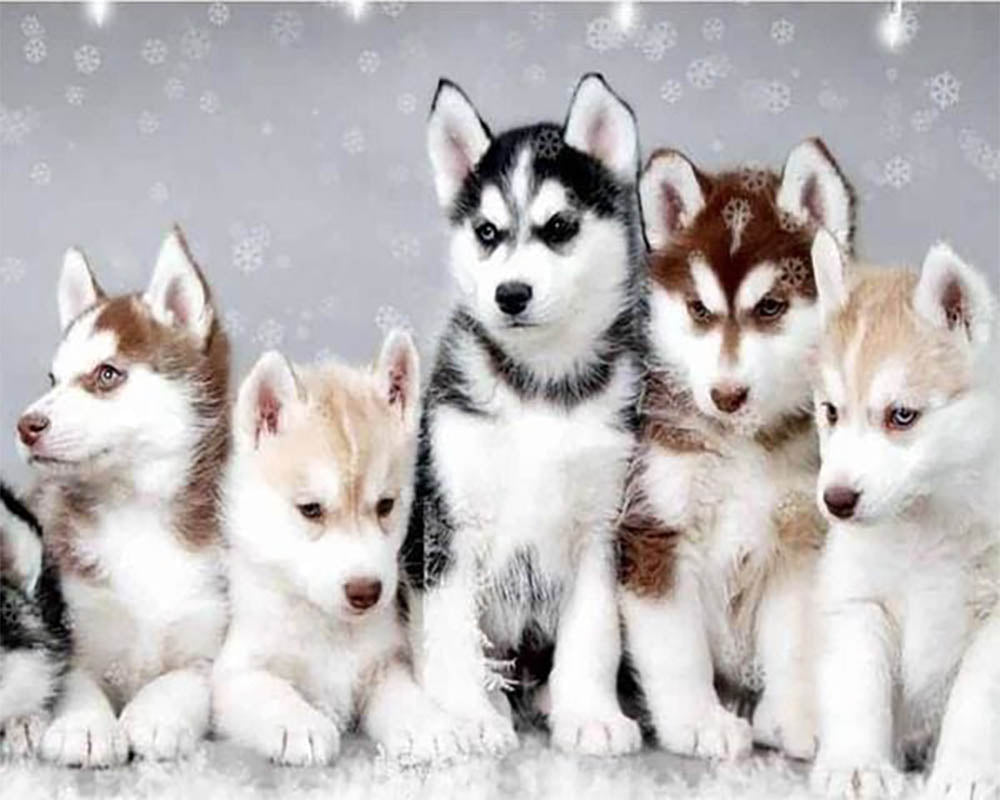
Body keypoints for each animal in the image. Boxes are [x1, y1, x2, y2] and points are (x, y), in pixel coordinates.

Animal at [15, 228, 230, 766]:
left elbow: (186, 678)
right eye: (53, 379)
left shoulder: (210, 639)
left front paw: (156, 715)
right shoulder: (73, 628)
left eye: (107, 375)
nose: (26, 425)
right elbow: (75, 681)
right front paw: (84, 726)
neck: (137, 515)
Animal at [212, 334, 480, 765]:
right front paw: (297, 725)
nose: (365, 592)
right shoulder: (231, 672)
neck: (330, 628)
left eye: (386, 505)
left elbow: (402, 694)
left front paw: (428, 724)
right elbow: (267, 688)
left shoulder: (386, 662)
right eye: (311, 509)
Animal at [404, 73, 647, 755]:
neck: (540, 387)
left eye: (560, 225)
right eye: (487, 233)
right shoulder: (450, 524)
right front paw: (467, 717)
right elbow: (454, 635)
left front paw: (590, 713)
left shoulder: (603, 525)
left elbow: (594, 633)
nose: (510, 294)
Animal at [618, 140, 855, 760]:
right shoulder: (656, 530)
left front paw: (796, 717)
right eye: (699, 310)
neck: (741, 446)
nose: (726, 396)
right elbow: (676, 647)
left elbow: (794, 638)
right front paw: (699, 721)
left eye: (770, 307)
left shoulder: (797, 542)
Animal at [809, 230, 999, 799]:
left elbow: (976, 699)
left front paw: (965, 772)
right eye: (831, 412)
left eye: (902, 416)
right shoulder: (857, 601)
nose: (836, 500)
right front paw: (856, 765)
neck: (925, 525)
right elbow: (857, 688)